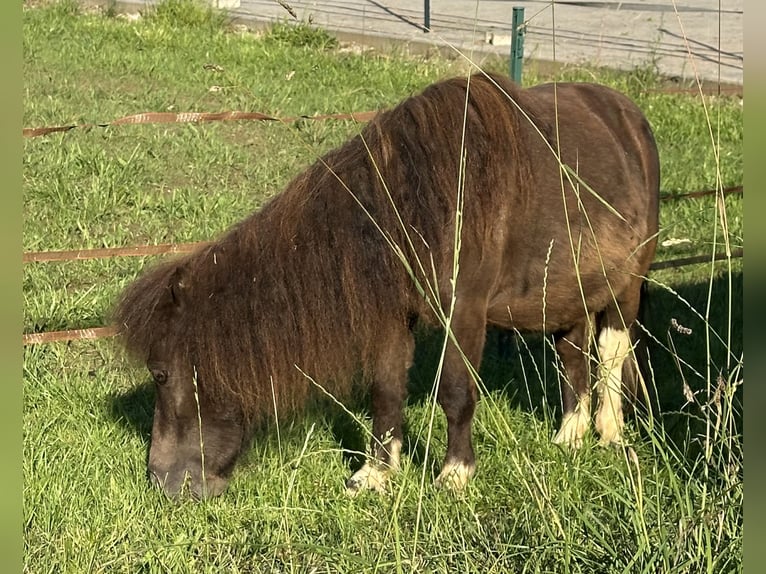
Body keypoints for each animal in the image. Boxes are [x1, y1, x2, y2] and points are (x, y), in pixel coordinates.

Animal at [114, 73, 660, 500]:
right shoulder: (395, 314)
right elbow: (386, 389)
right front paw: (377, 473)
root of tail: (629, 115)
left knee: (610, 351)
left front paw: (454, 474)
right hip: (567, 293)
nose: (161, 480)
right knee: (572, 355)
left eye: (161, 374)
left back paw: (610, 432)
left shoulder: (464, 310)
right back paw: (570, 435)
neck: (422, 200)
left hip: (626, 287)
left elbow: (455, 391)